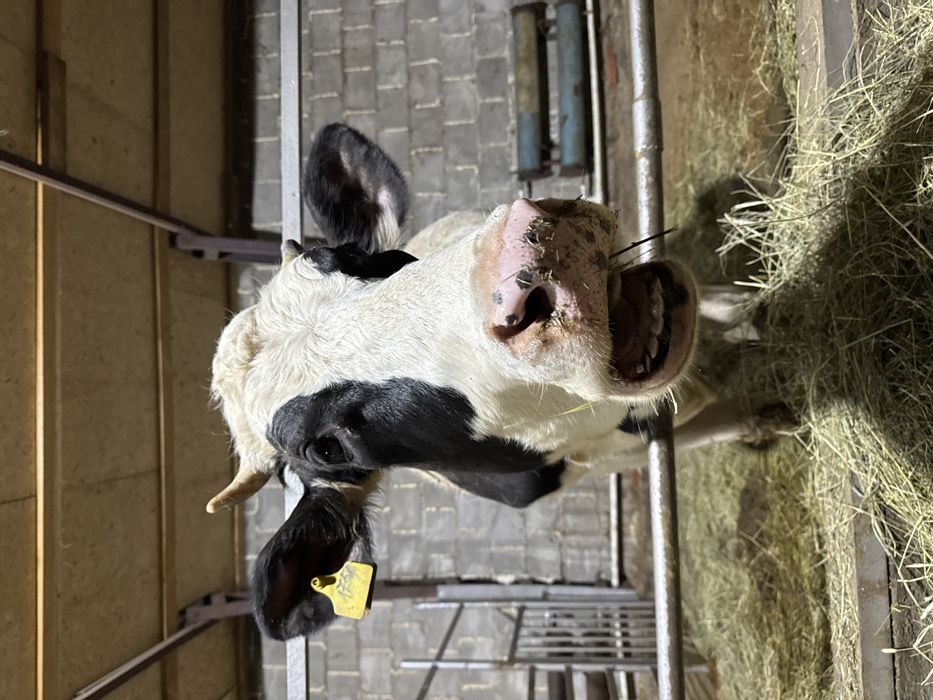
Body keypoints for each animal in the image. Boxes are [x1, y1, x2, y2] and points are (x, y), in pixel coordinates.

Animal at [207, 124, 786, 640]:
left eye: (350, 256)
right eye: (326, 449)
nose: (519, 260)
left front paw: (753, 318)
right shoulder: (594, 459)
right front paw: (760, 418)